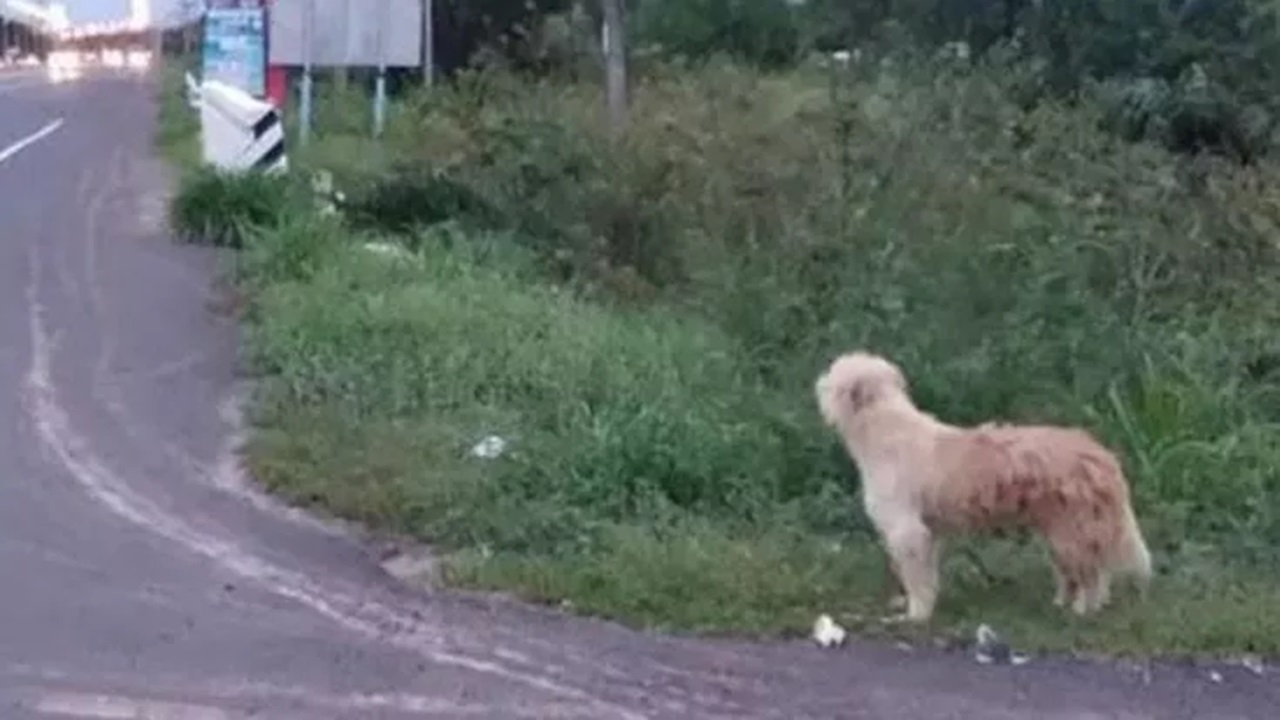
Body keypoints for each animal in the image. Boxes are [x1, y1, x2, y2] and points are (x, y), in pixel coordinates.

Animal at [814, 351, 1157, 620]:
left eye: (832, 375)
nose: (818, 383)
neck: (886, 429)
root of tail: (1101, 455)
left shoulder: (907, 530)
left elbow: (916, 577)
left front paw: (917, 614)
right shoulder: (929, 533)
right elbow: (929, 575)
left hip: (1072, 529)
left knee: (1092, 575)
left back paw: (1083, 610)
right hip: (1062, 530)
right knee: (1083, 571)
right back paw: (1064, 603)